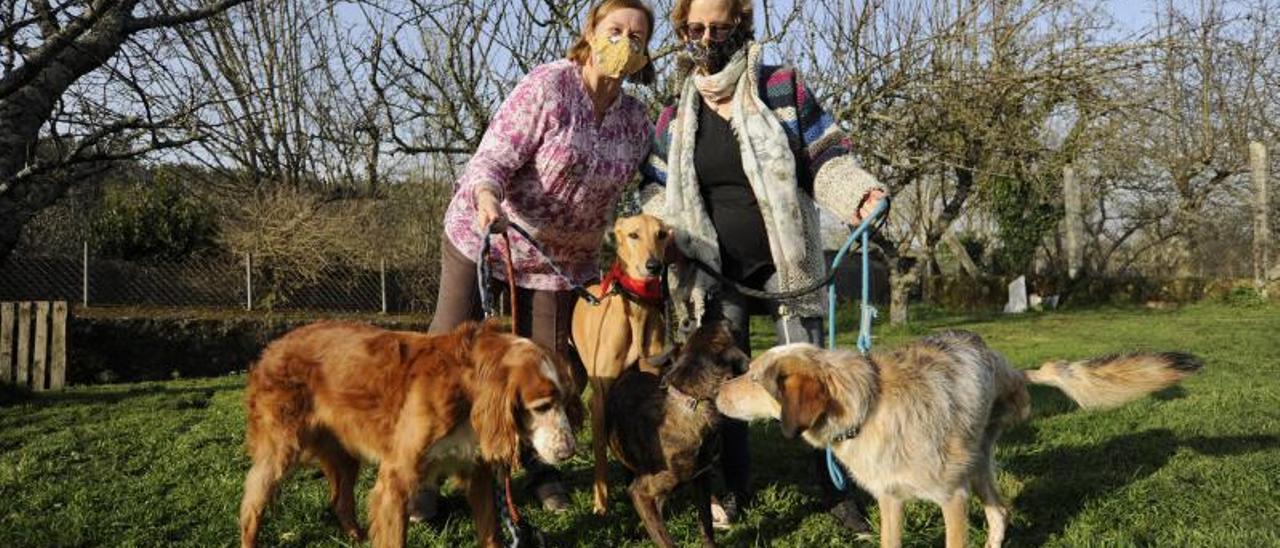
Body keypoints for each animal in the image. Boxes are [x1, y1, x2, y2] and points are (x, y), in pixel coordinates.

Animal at [721, 330, 1198, 548]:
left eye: (753, 377)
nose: (716, 392)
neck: (869, 405)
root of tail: (1010, 367)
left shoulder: (952, 498)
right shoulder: (890, 500)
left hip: (976, 467)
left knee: (1000, 512)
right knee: (1001, 512)